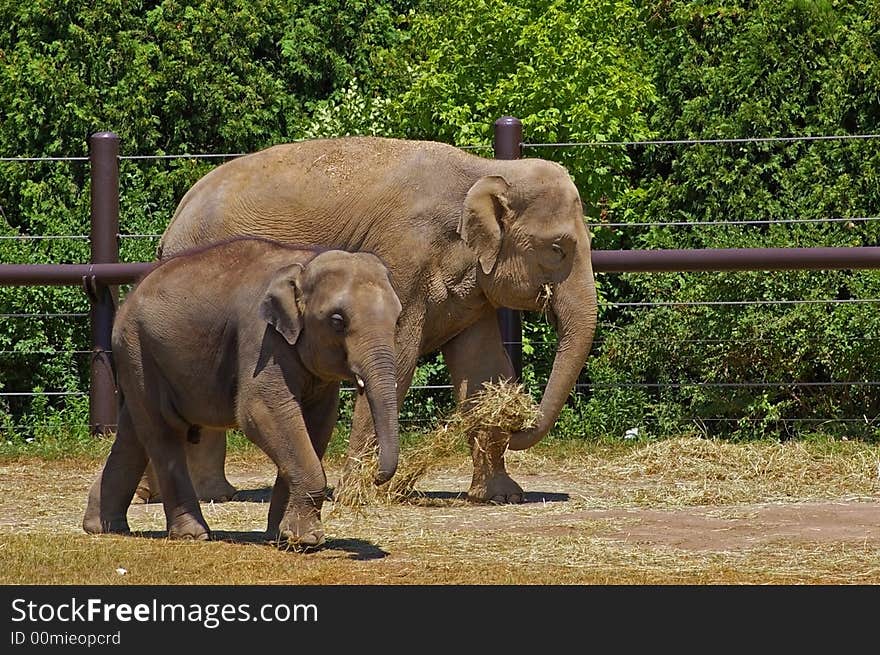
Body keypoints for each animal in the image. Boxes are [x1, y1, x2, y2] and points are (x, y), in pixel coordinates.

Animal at [84, 237, 400, 548]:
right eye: (337, 321)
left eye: (397, 319)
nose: (375, 476)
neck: (305, 263)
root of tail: (131, 294)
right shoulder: (261, 337)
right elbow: (261, 411)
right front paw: (307, 540)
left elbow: (317, 424)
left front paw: (282, 538)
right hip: (138, 350)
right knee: (163, 431)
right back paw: (191, 535)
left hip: (139, 359)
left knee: (134, 433)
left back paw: (103, 527)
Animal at [150, 137, 600, 508]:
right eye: (558, 249)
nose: (519, 423)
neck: (486, 170)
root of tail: (174, 221)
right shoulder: (401, 257)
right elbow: (397, 361)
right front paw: (361, 491)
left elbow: (483, 369)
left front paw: (502, 496)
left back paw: (195, 494)